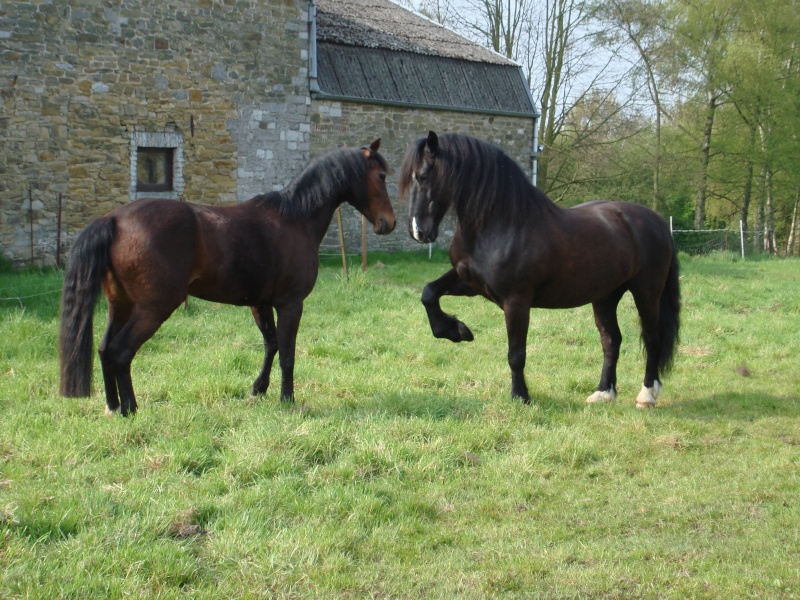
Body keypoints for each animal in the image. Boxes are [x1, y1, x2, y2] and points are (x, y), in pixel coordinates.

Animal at [57, 139, 396, 414]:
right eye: (381, 176)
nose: (388, 223)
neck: (295, 219)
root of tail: (113, 219)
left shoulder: (260, 303)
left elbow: (271, 344)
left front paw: (259, 389)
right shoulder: (290, 304)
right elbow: (287, 353)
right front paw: (287, 399)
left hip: (120, 305)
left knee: (104, 349)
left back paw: (112, 405)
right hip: (153, 308)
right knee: (121, 351)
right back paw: (130, 407)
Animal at [396, 132, 680, 408]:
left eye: (423, 176)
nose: (418, 231)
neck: (501, 223)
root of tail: (657, 221)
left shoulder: (516, 301)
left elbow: (516, 354)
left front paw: (520, 397)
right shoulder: (468, 282)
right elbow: (428, 293)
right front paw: (455, 331)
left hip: (646, 293)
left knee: (652, 339)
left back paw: (647, 395)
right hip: (605, 297)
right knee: (611, 341)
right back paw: (603, 393)